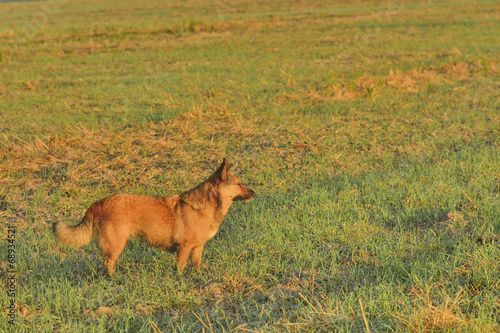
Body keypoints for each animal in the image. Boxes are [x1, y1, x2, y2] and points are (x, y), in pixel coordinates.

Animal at [53, 158, 256, 274]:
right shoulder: (184, 247)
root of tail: (99, 203)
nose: (254, 192)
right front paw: (180, 280)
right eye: (239, 184)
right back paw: (114, 279)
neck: (206, 206)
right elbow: (180, 267)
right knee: (108, 263)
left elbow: (196, 264)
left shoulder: (197, 248)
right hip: (116, 244)